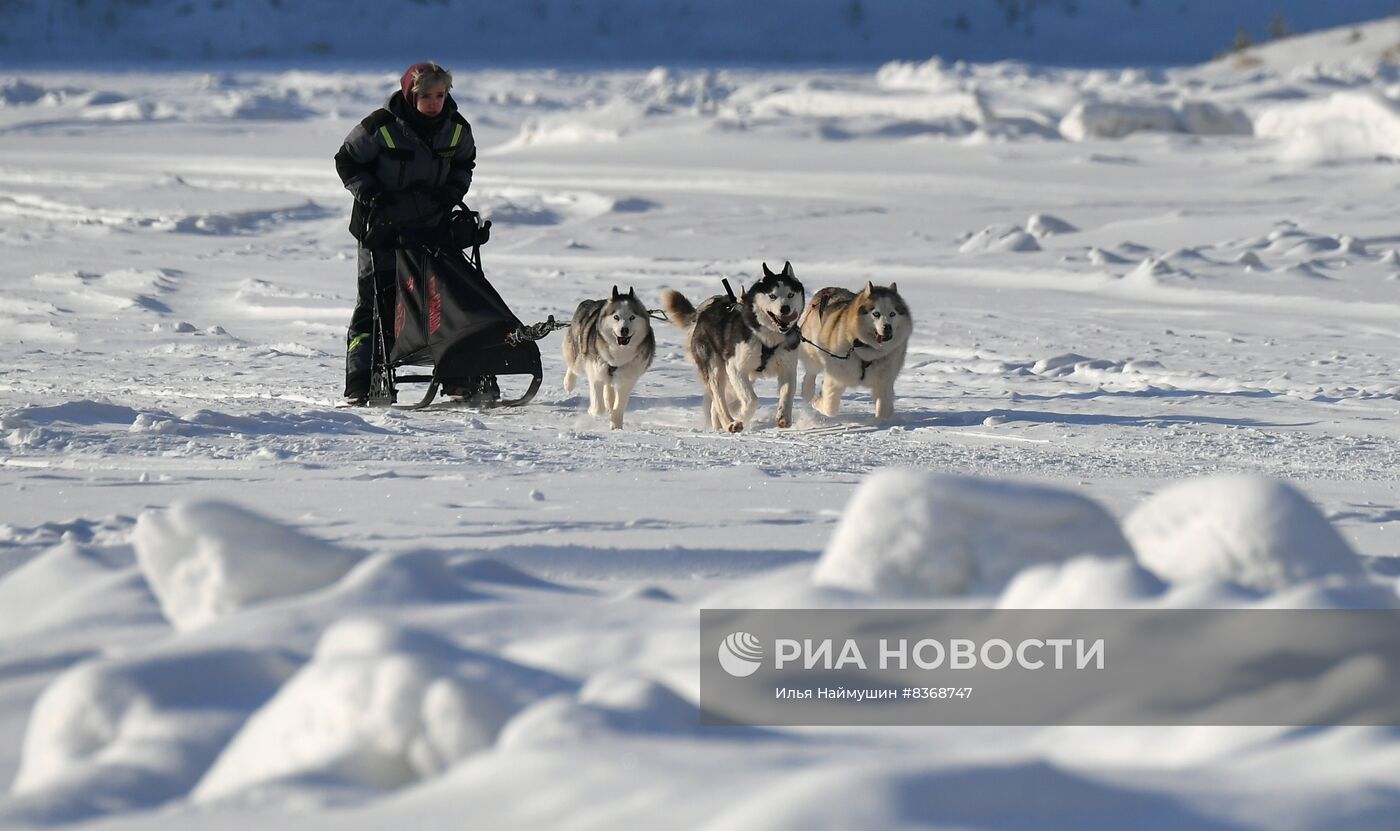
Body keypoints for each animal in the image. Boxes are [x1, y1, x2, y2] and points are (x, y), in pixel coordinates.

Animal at [562, 285, 655, 428]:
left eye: (632, 317)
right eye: (616, 317)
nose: (624, 330)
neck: (618, 352)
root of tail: (590, 302)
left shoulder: (628, 377)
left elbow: (620, 405)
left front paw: (616, 426)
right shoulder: (595, 370)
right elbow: (598, 406)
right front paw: (592, 411)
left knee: (609, 386)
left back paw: (609, 401)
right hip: (578, 353)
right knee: (573, 365)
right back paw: (569, 383)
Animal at [660, 260, 806, 430]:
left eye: (790, 294)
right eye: (772, 296)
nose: (785, 308)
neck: (768, 337)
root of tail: (702, 313)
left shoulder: (787, 368)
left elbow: (787, 394)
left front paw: (783, 417)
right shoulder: (735, 367)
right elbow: (752, 400)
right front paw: (742, 416)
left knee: (718, 404)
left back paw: (719, 425)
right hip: (716, 370)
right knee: (719, 401)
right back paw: (730, 423)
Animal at [806, 279, 912, 419]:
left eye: (892, 314)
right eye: (876, 314)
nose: (888, 327)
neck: (868, 350)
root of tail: (828, 289)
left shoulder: (884, 382)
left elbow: (884, 410)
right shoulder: (836, 377)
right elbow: (830, 408)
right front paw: (817, 401)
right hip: (812, 351)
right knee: (810, 371)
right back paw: (807, 390)